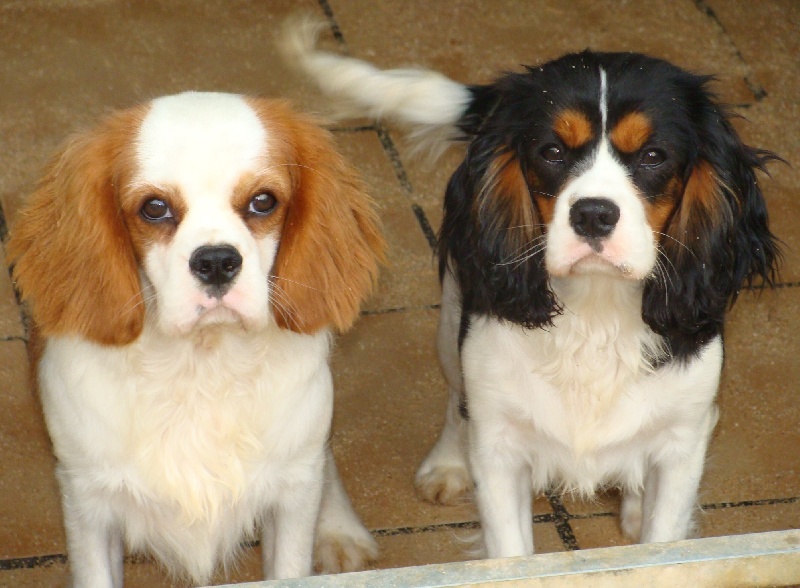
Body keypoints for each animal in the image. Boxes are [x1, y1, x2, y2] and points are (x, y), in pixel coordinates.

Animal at [8, 91, 383, 585]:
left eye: (263, 202)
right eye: (154, 208)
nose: (217, 261)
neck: (200, 366)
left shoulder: (291, 501)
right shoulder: (88, 504)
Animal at [283, 18, 780, 557]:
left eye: (653, 156)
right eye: (553, 152)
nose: (593, 214)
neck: (597, 311)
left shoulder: (682, 444)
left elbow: (661, 536)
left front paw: (643, 520)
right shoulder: (500, 448)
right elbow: (509, 547)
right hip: (452, 324)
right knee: (457, 400)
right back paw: (448, 463)